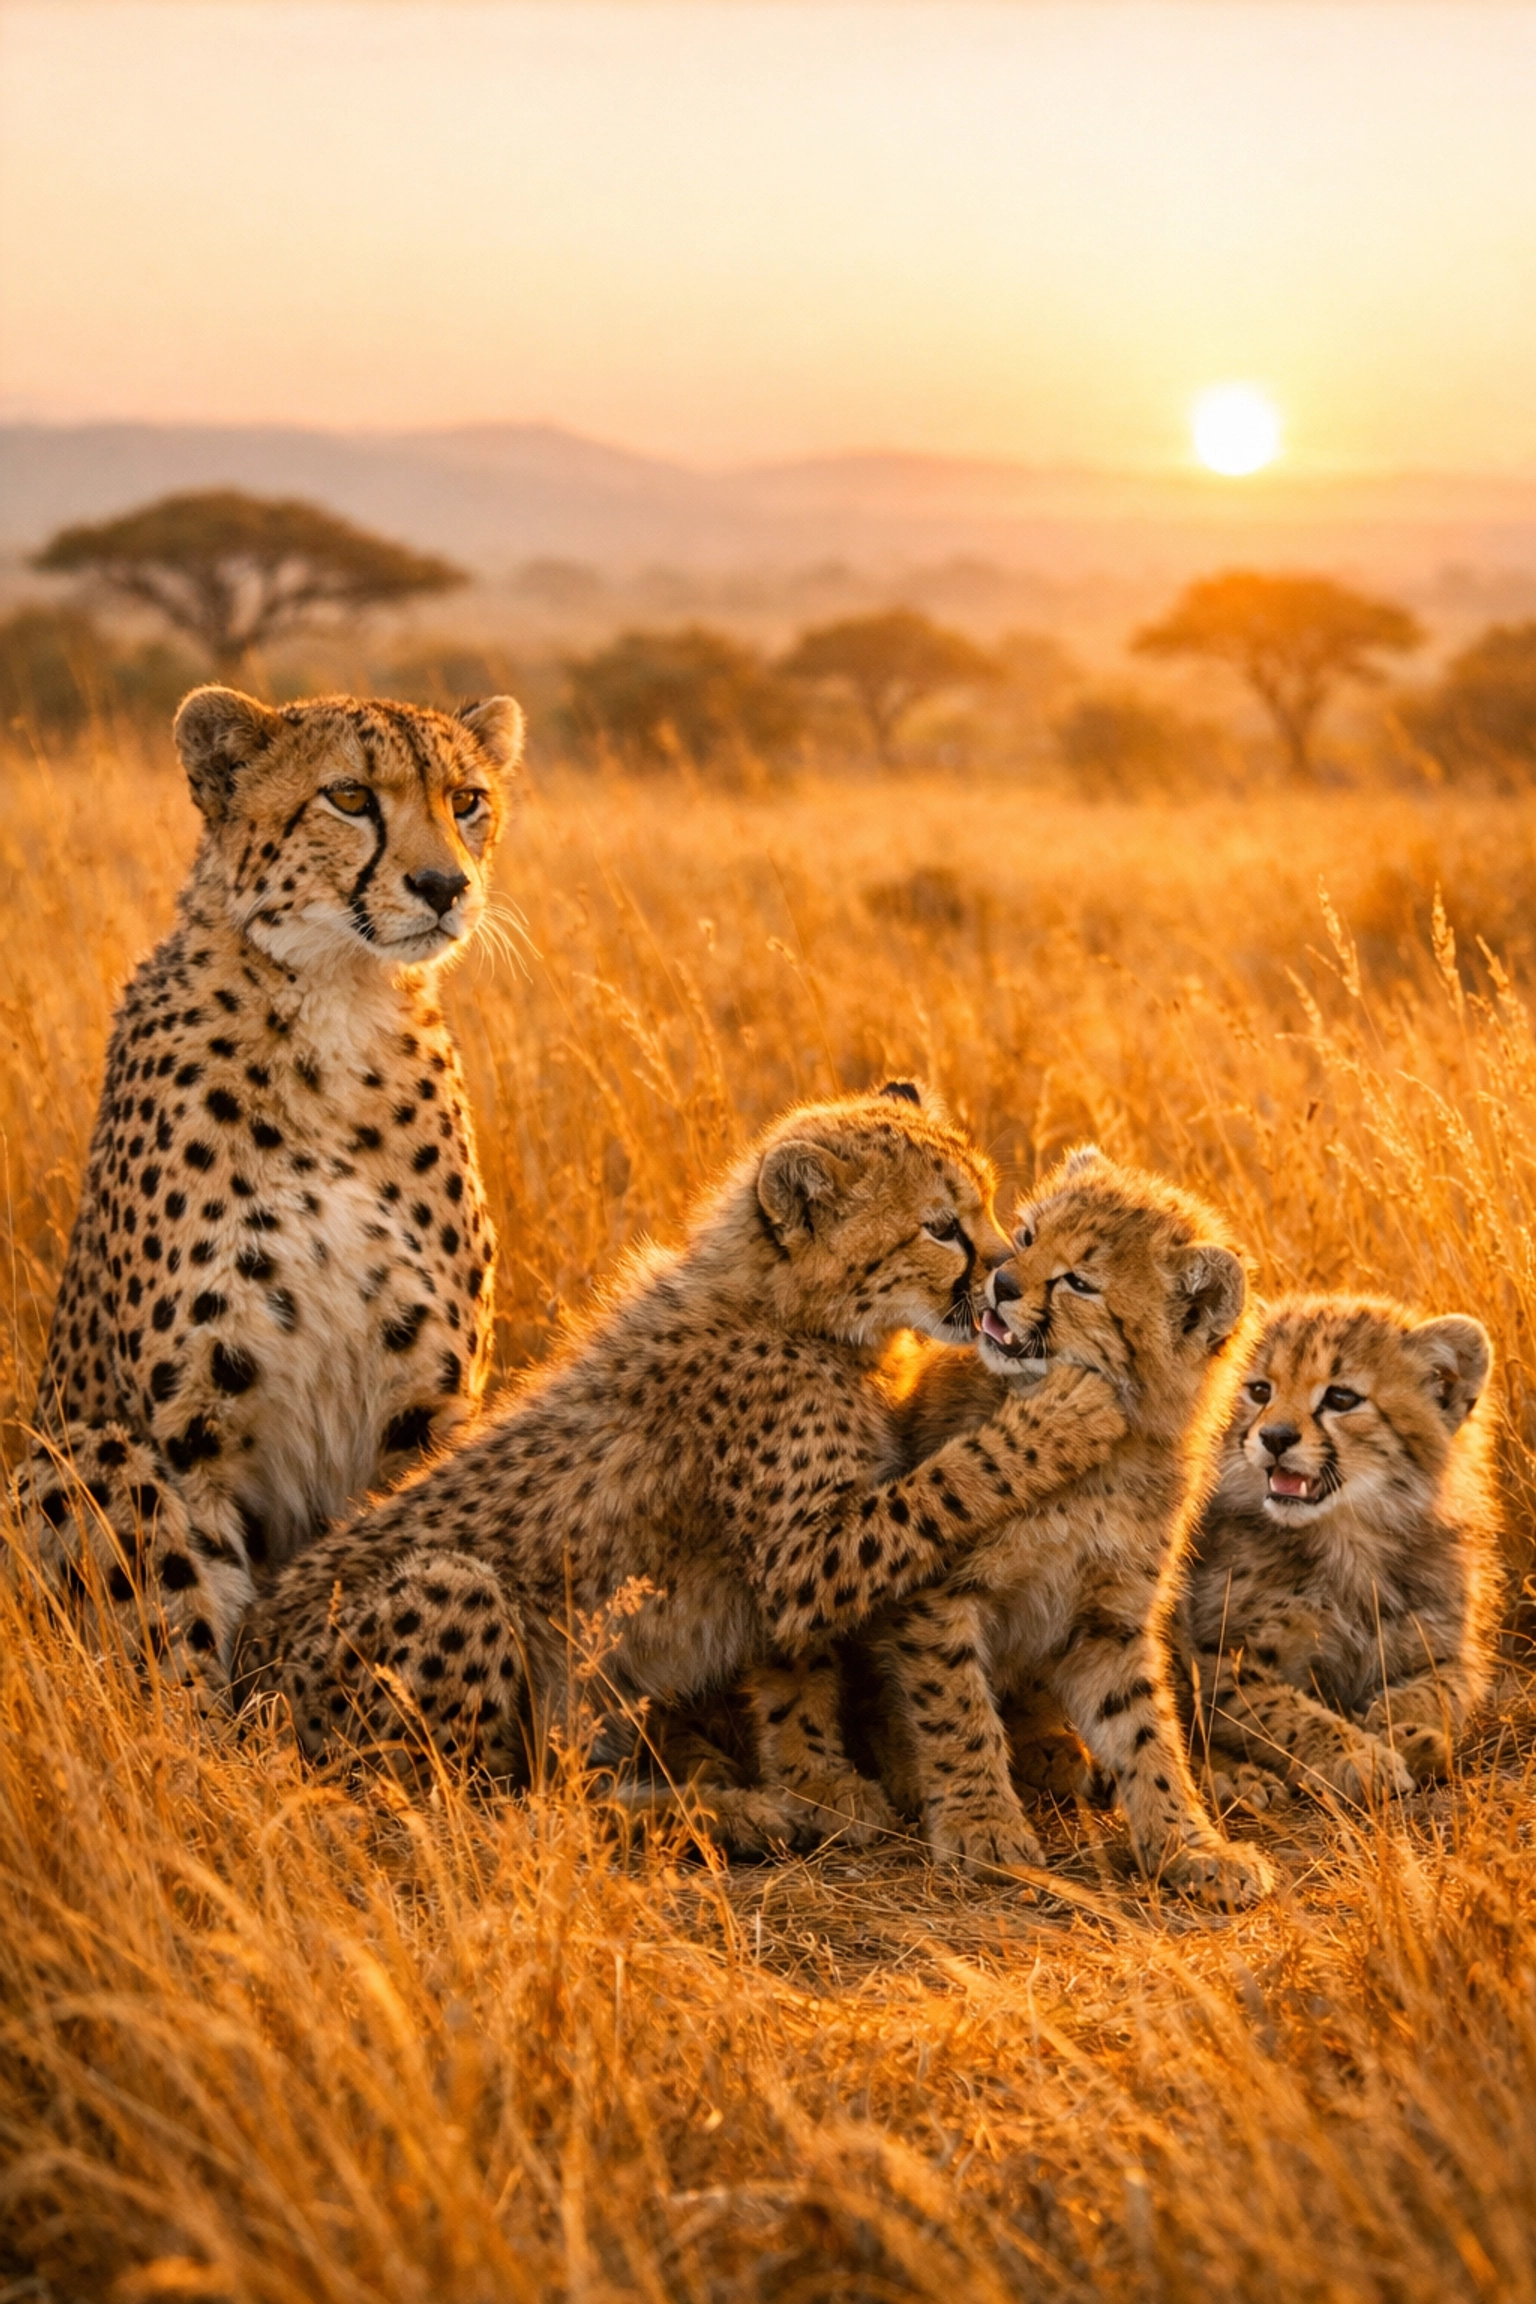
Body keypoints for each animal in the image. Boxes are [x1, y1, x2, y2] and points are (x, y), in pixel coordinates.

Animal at [7, 683, 523, 1700]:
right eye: (350, 797)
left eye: (468, 800)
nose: (444, 886)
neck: (337, 1005)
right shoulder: (189, 1435)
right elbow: (183, 1643)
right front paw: (201, 1737)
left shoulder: (426, 1417)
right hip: (69, 1451)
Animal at [235, 1085, 1129, 1852]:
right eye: (940, 1227)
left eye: (992, 1209)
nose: (1001, 1278)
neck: (793, 1314)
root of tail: (242, 1672)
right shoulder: (802, 1557)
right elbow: (947, 1482)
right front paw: (1063, 1416)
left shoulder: (778, 1570)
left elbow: (795, 1673)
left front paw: (818, 1782)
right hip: (454, 1594)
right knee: (479, 1808)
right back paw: (723, 1812)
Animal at [859, 1145, 1275, 1908]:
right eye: (1026, 1237)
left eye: (1079, 1281)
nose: (999, 1283)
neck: (1103, 1463)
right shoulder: (939, 1592)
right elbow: (954, 1708)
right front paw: (982, 1823)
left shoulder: (1108, 1620)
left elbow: (1145, 1731)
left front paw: (1190, 1844)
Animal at [1179, 1292, 1500, 1810]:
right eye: (1259, 1390)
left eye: (1341, 1399)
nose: (1275, 1437)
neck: (1350, 1539)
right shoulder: (1219, 1659)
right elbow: (1286, 1713)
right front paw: (1358, 1757)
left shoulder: (1449, 1650)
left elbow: (1444, 1691)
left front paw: (1400, 1727)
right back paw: (1237, 1780)